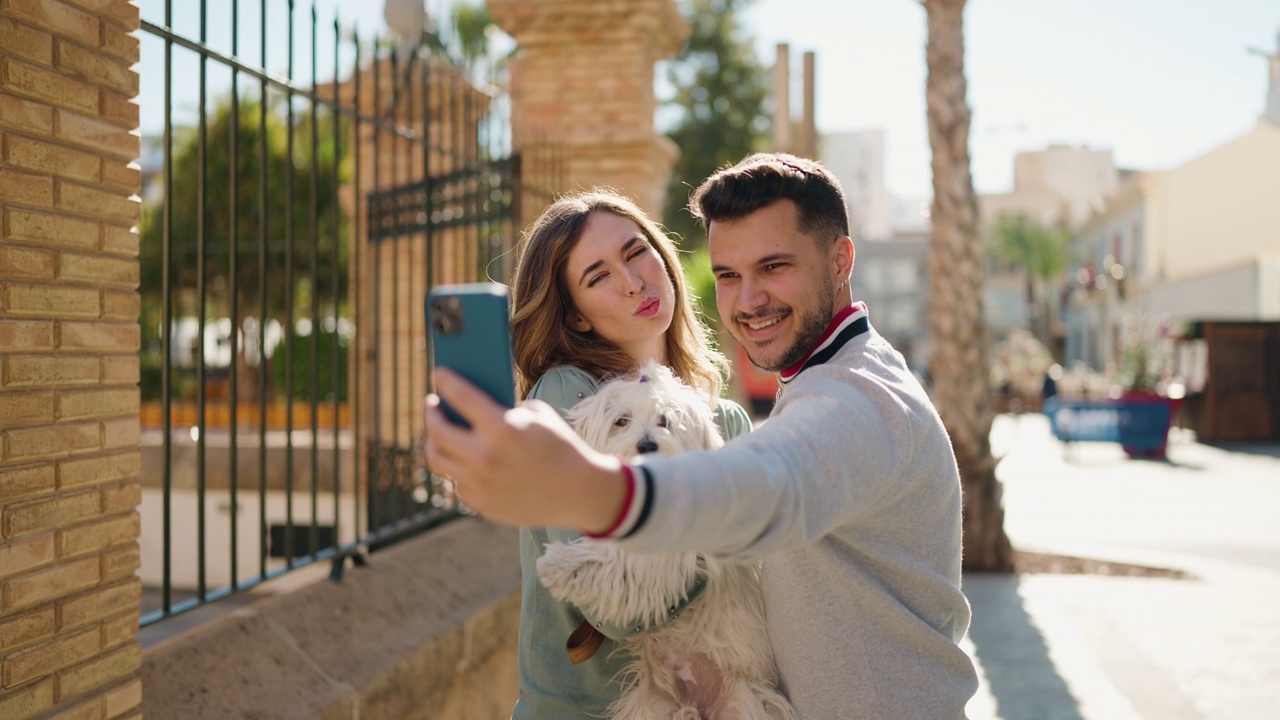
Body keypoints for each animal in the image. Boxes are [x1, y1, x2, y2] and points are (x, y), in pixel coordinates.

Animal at [535, 361, 793, 712]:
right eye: (621, 421)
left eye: (665, 420)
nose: (647, 445)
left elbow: (624, 565)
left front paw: (562, 566)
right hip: (652, 705)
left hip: (740, 702)